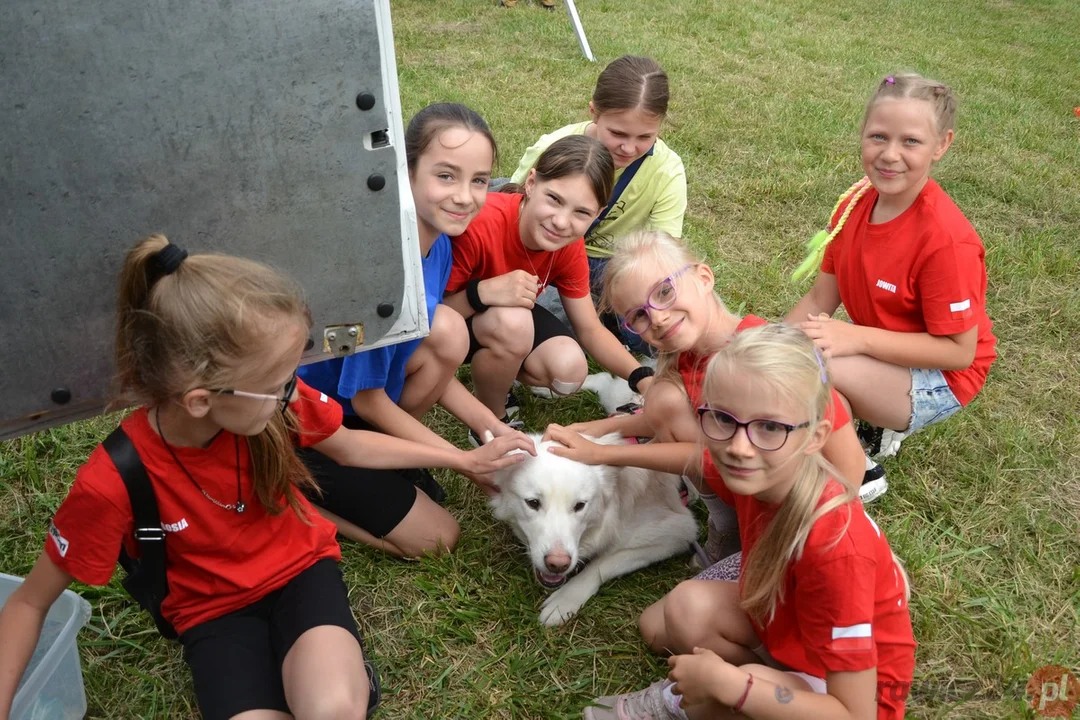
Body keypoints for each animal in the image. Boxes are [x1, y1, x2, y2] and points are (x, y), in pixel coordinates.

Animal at [492, 433, 699, 626]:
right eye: (533, 503)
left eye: (580, 505)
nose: (558, 564)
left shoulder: (677, 532)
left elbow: (601, 565)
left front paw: (565, 600)